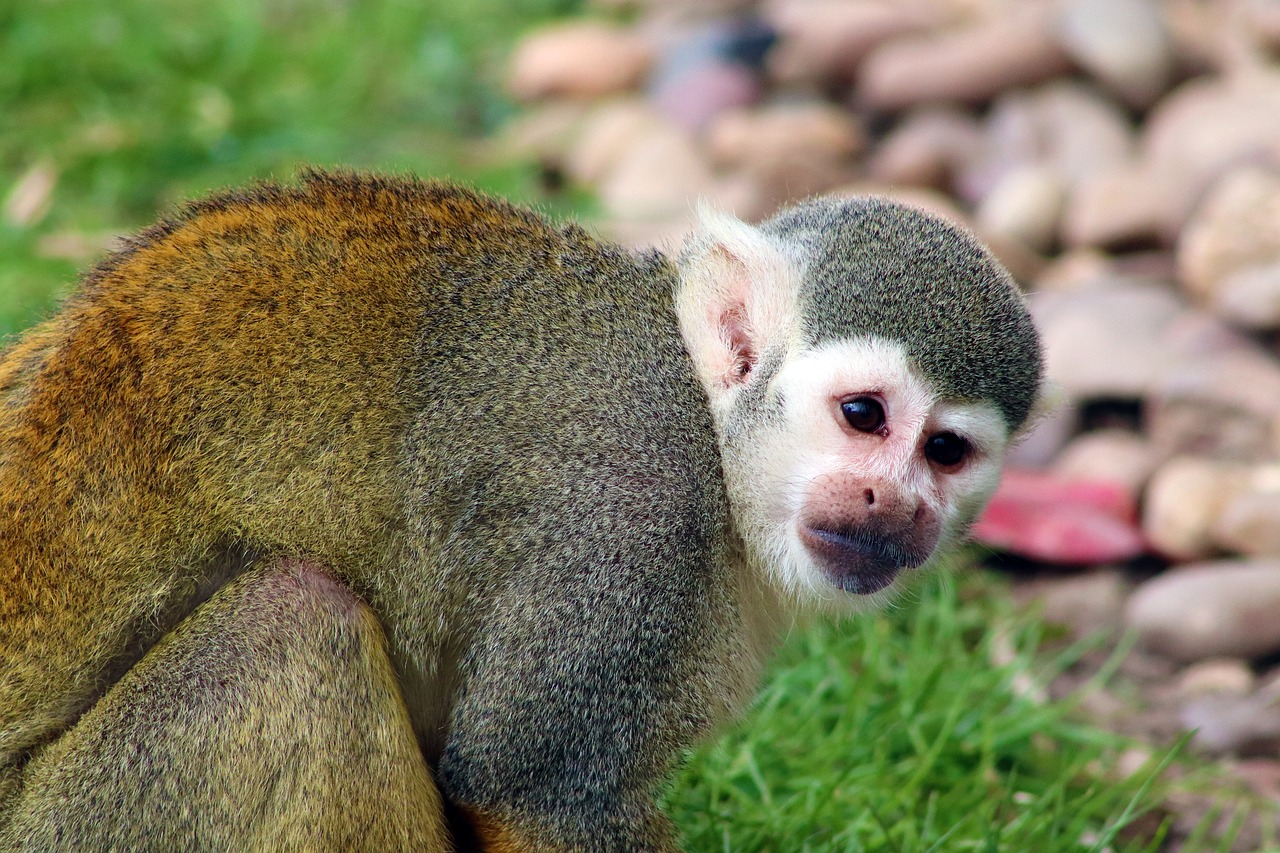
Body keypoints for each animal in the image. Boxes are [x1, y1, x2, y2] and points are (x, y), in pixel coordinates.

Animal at [0, 169, 1039, 845]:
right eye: (864, 416)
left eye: (945, 452)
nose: (896, 504)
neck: (710, 443)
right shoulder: (626, 518)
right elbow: (527, 789)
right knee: (298, 619)